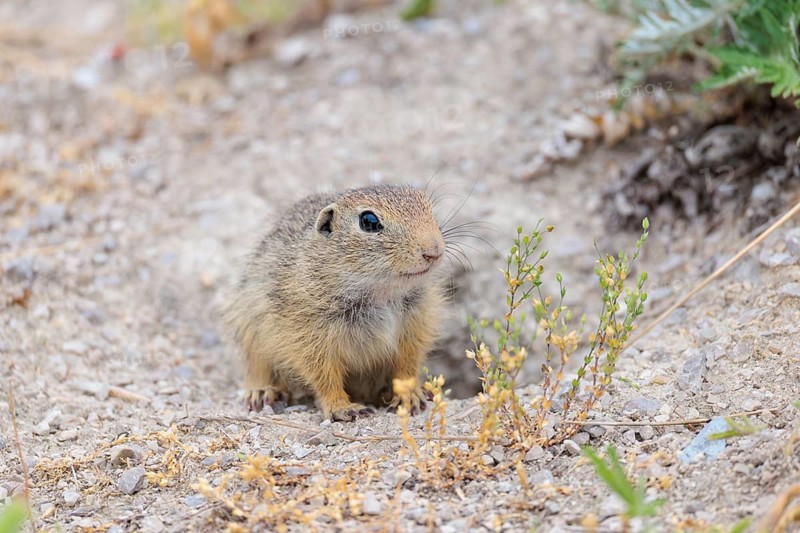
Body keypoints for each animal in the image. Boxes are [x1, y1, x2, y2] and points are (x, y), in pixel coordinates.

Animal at [225, 185, 446, 421]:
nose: (433, 251)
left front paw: (409, 396)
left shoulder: (416, 324)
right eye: (369, 221)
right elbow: (324, 375)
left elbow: (407, 365)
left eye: (428, 208)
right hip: (251, 334)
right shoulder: (309, 333)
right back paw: (262, 392)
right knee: (257, 368)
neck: (383, 293)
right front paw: (343, 407)